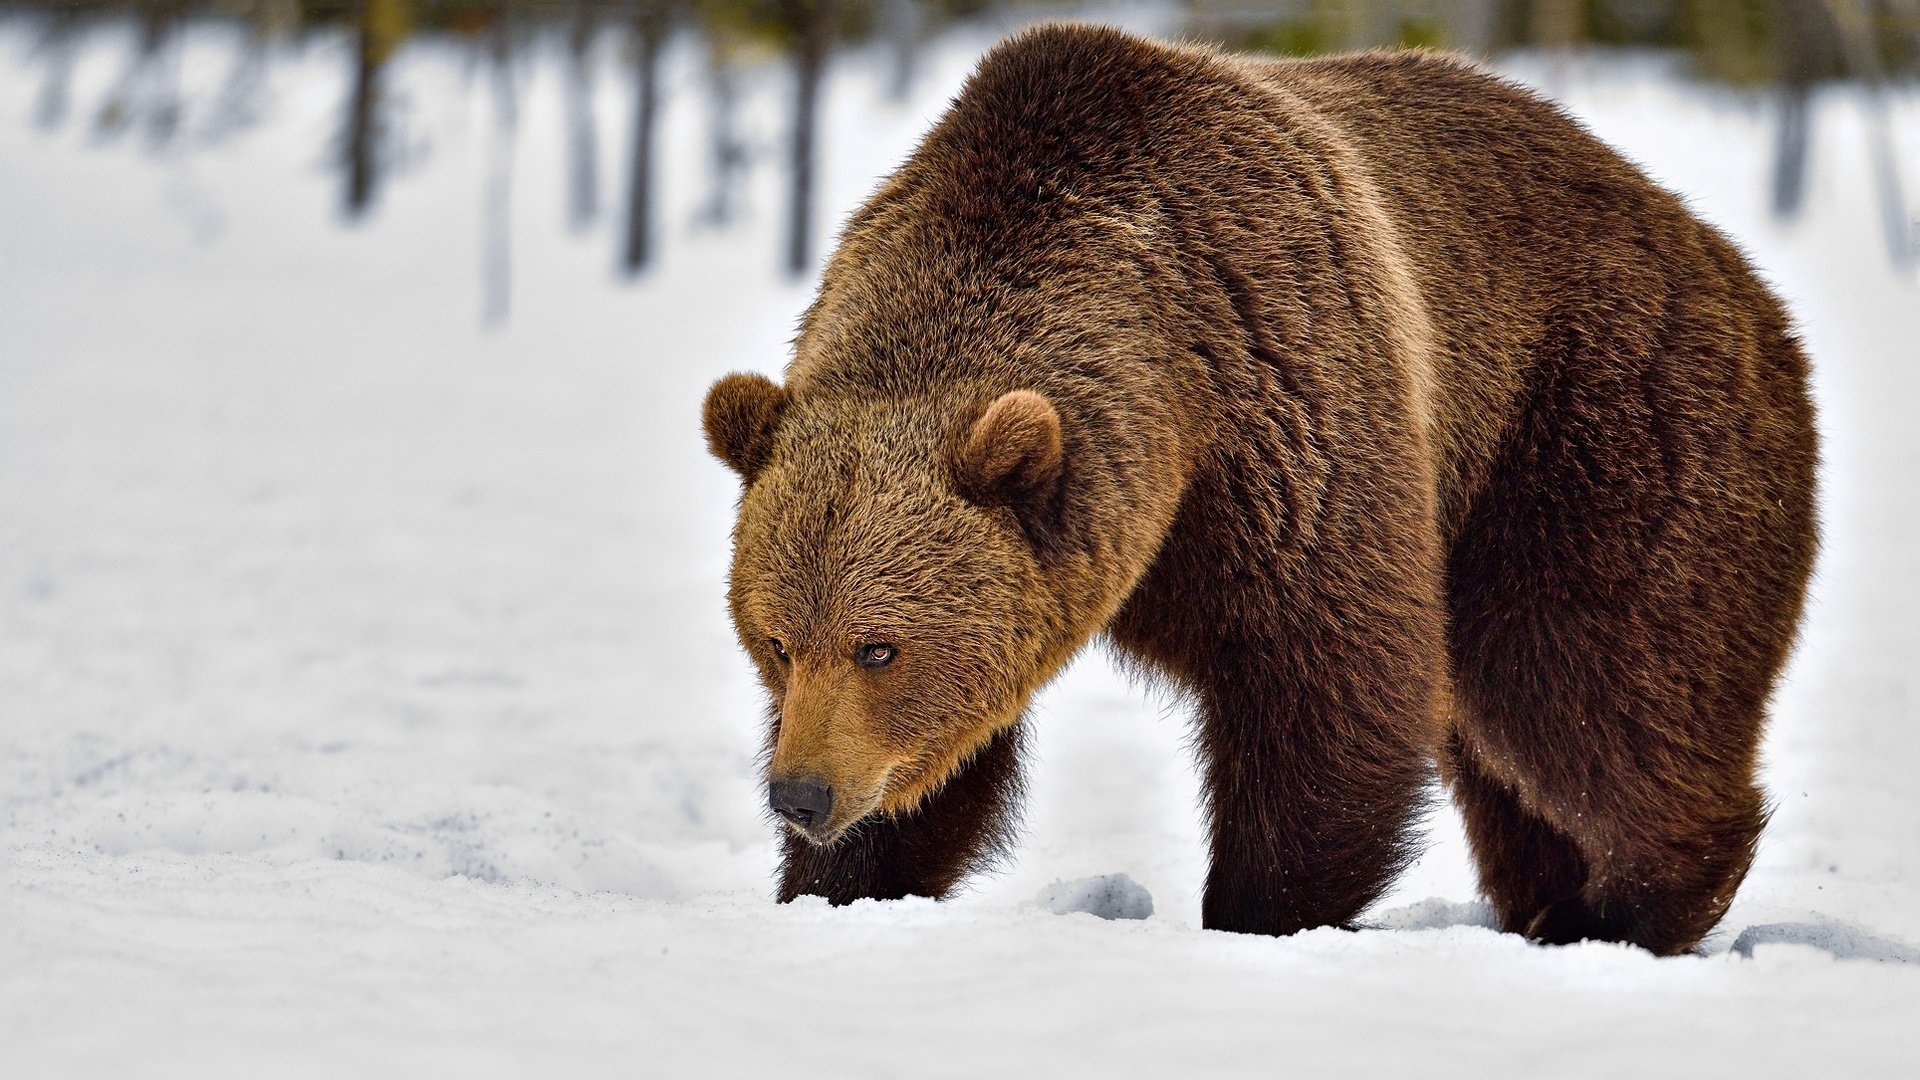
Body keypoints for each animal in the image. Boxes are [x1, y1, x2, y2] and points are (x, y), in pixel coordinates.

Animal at [701, 24, 1817, 956]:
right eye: (777, 641)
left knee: (1593, 681)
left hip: (1597, 434)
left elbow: (1327, 681)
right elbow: (940, 767)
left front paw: (1259, 913)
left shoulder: (1290, 406)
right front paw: (841, 887)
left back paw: (1628, 910)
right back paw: (1552, 903)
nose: (800, 794)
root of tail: (1726, 259)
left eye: (879, 647)